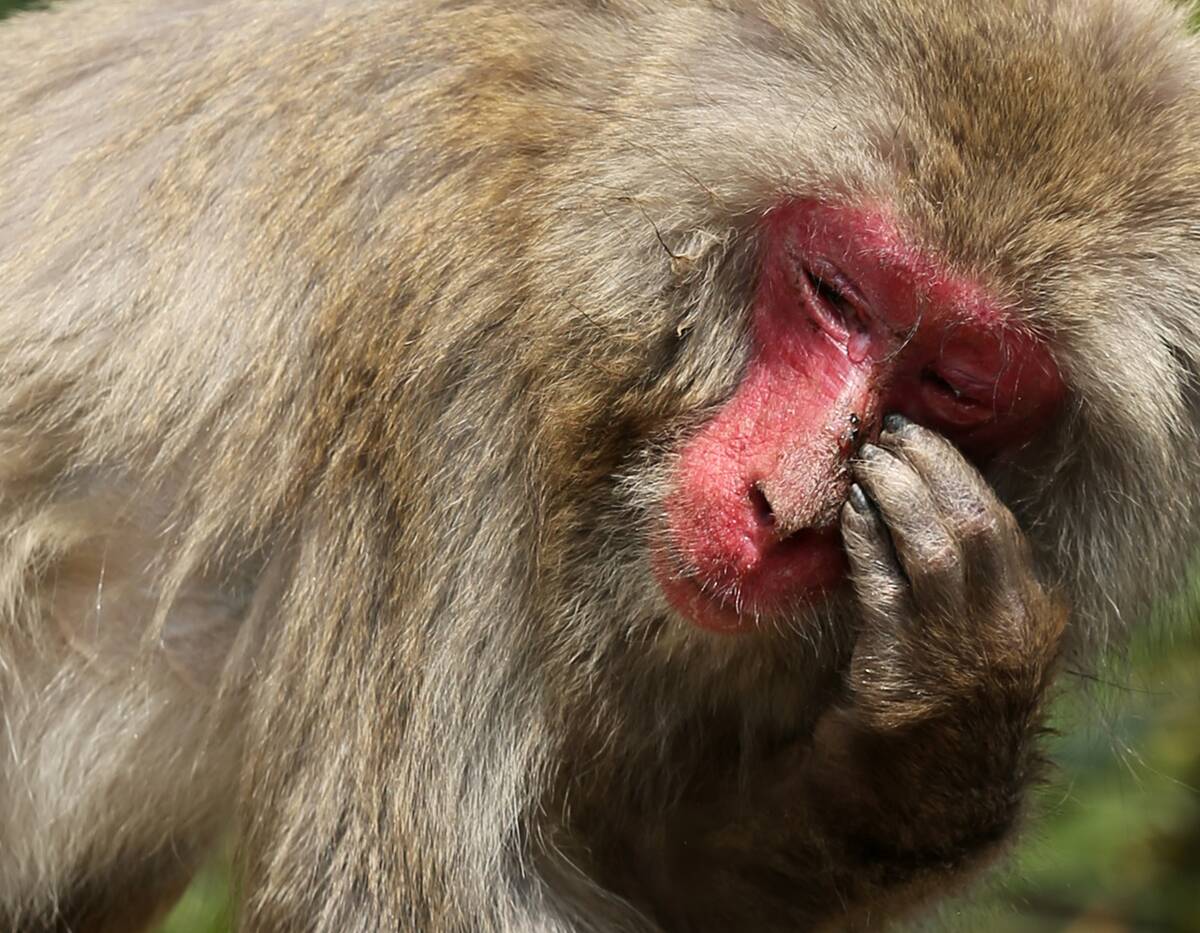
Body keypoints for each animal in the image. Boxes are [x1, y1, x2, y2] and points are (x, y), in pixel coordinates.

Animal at [1, 0, 1199, 930]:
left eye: (959, 383)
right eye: (838, 294)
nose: (785, 507)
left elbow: (650, 862)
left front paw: (939, 724)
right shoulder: (443, 348)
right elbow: (400, 895)